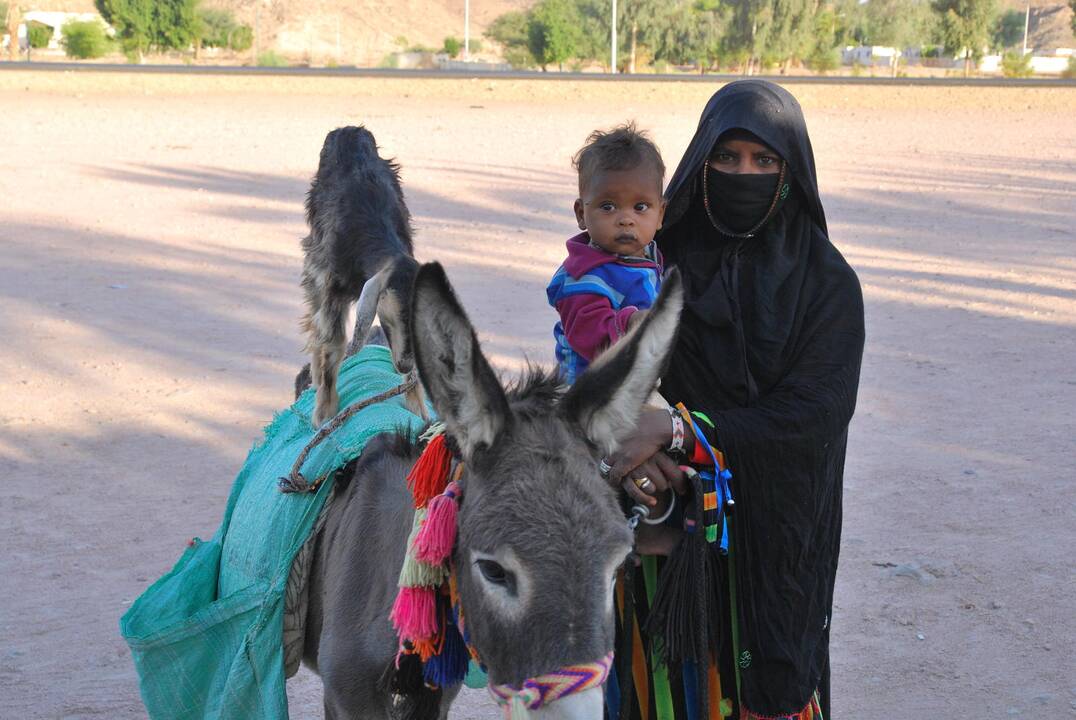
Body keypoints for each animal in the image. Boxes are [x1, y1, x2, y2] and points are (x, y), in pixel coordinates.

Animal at [303, 126, 423, 424]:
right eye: (393, 315)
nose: (404, 364)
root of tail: (349, 130)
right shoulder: (329, 286)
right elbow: (333, 344)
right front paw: (325, 412)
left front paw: (417, 406)